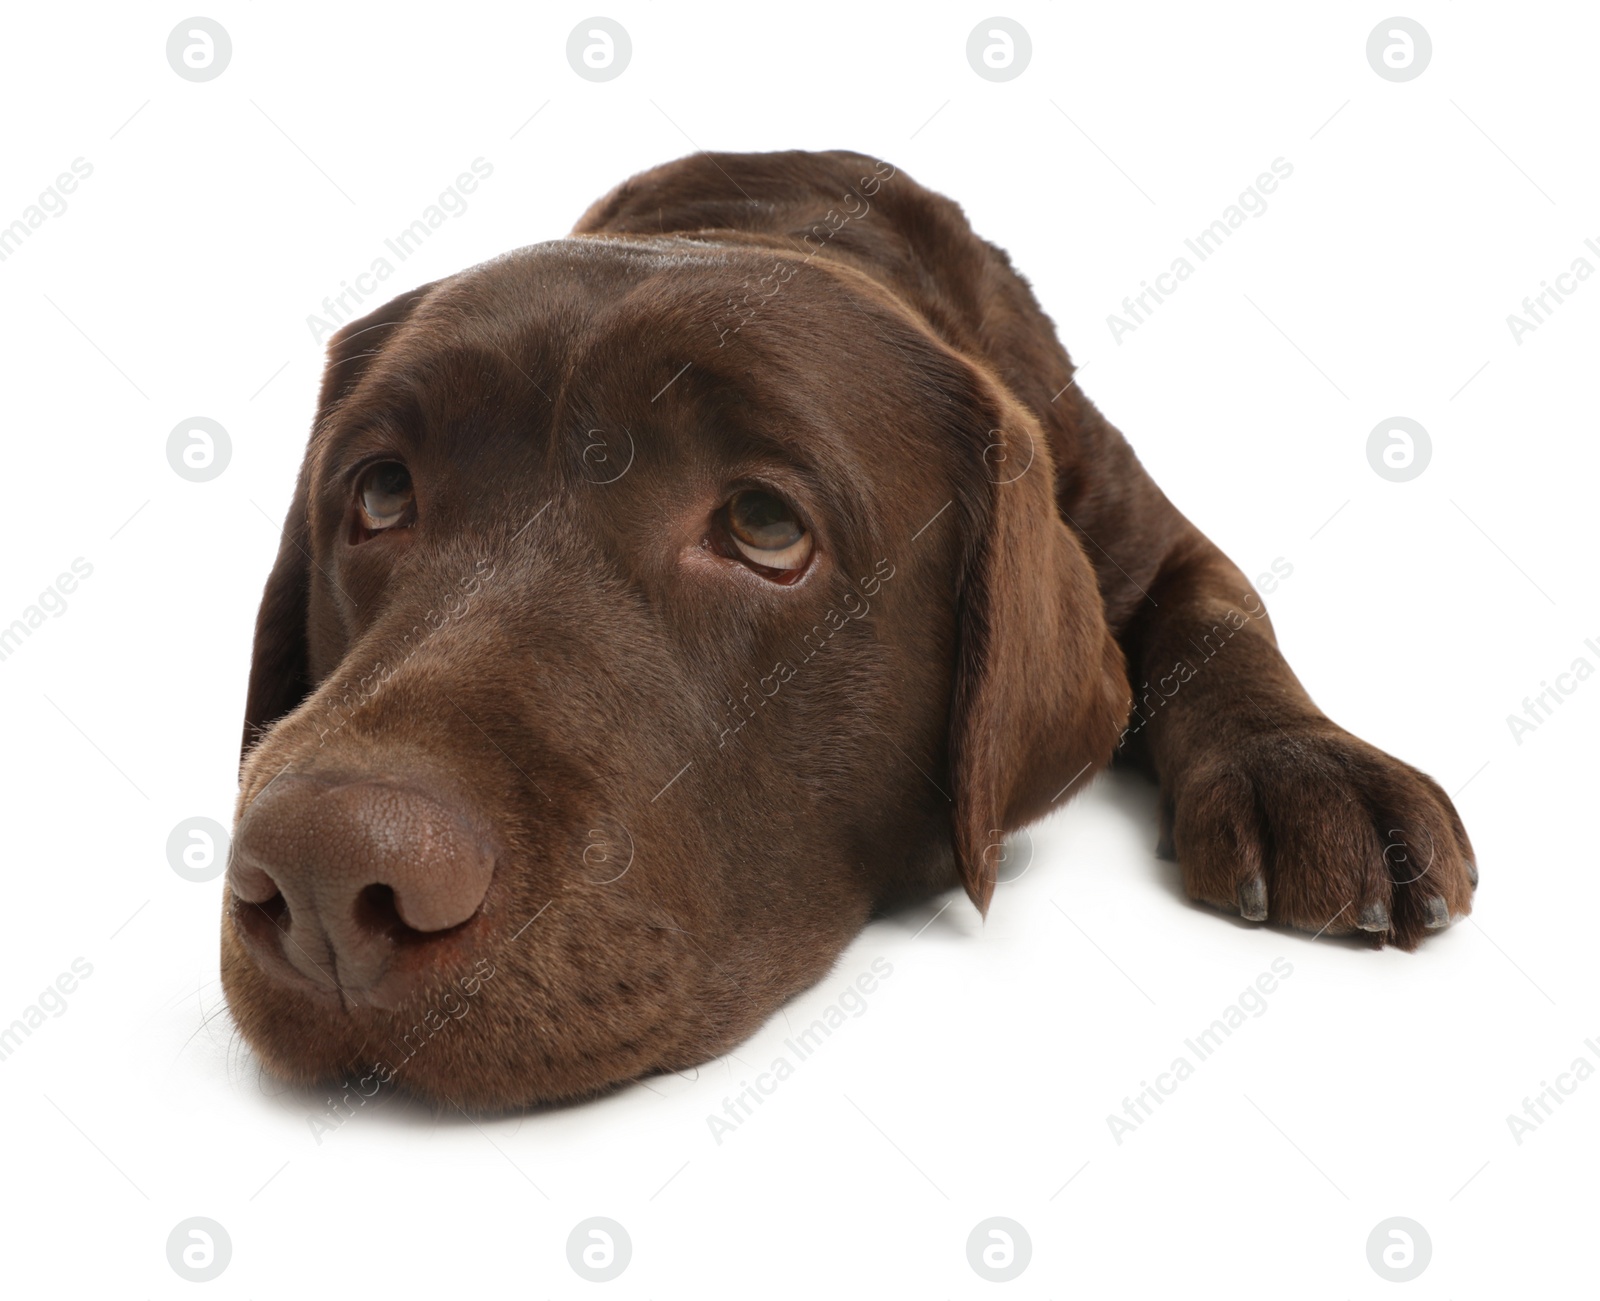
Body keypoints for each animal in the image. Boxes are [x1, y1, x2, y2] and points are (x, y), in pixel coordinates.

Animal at [222, 152, 1472, 1107]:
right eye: (382, 493)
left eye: (765, 524)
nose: (327, 875)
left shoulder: (1138, 522)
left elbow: (1220, 612)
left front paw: (1307, 766)